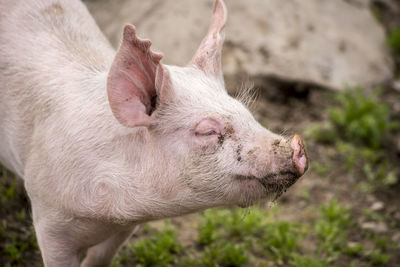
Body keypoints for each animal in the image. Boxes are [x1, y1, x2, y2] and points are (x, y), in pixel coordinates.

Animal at [0, 0, 306, 266]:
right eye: (207, 131)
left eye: (246, 112)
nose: (297, 147)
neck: (104, 217)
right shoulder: (47, 219)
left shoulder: (127, 226)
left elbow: (100, 258)